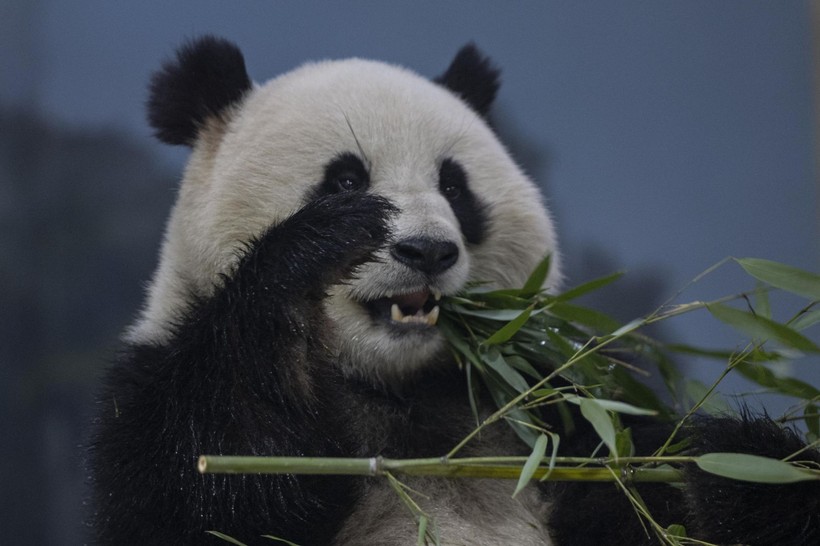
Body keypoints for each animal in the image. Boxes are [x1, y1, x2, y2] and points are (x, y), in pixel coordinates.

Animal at [88, 36, 812, 540]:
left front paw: (736, 467)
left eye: (455, 187)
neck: (397, 386)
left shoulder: (564, 401)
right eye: (345, 179)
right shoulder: (152, 385)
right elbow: (215, 484)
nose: (427, 251)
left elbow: (656, 485)